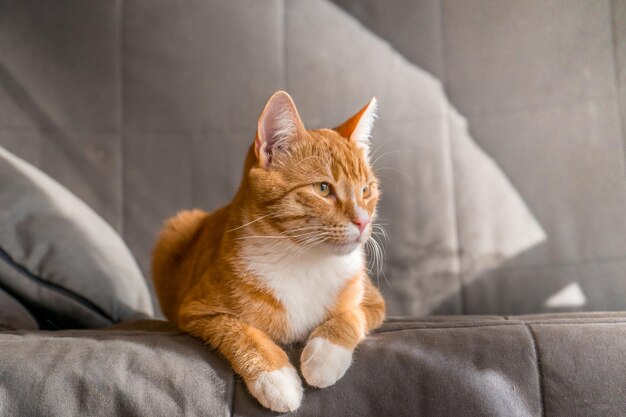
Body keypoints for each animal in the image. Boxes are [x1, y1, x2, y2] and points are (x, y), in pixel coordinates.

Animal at [152, 90, 386, 410]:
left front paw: (323, 356)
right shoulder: (197, 311)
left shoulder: (373, 302)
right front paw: (275, 377)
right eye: (323, 188)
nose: (363, 221)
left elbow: (351, 316)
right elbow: (240, 331)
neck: (304, 260)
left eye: (366, 190)